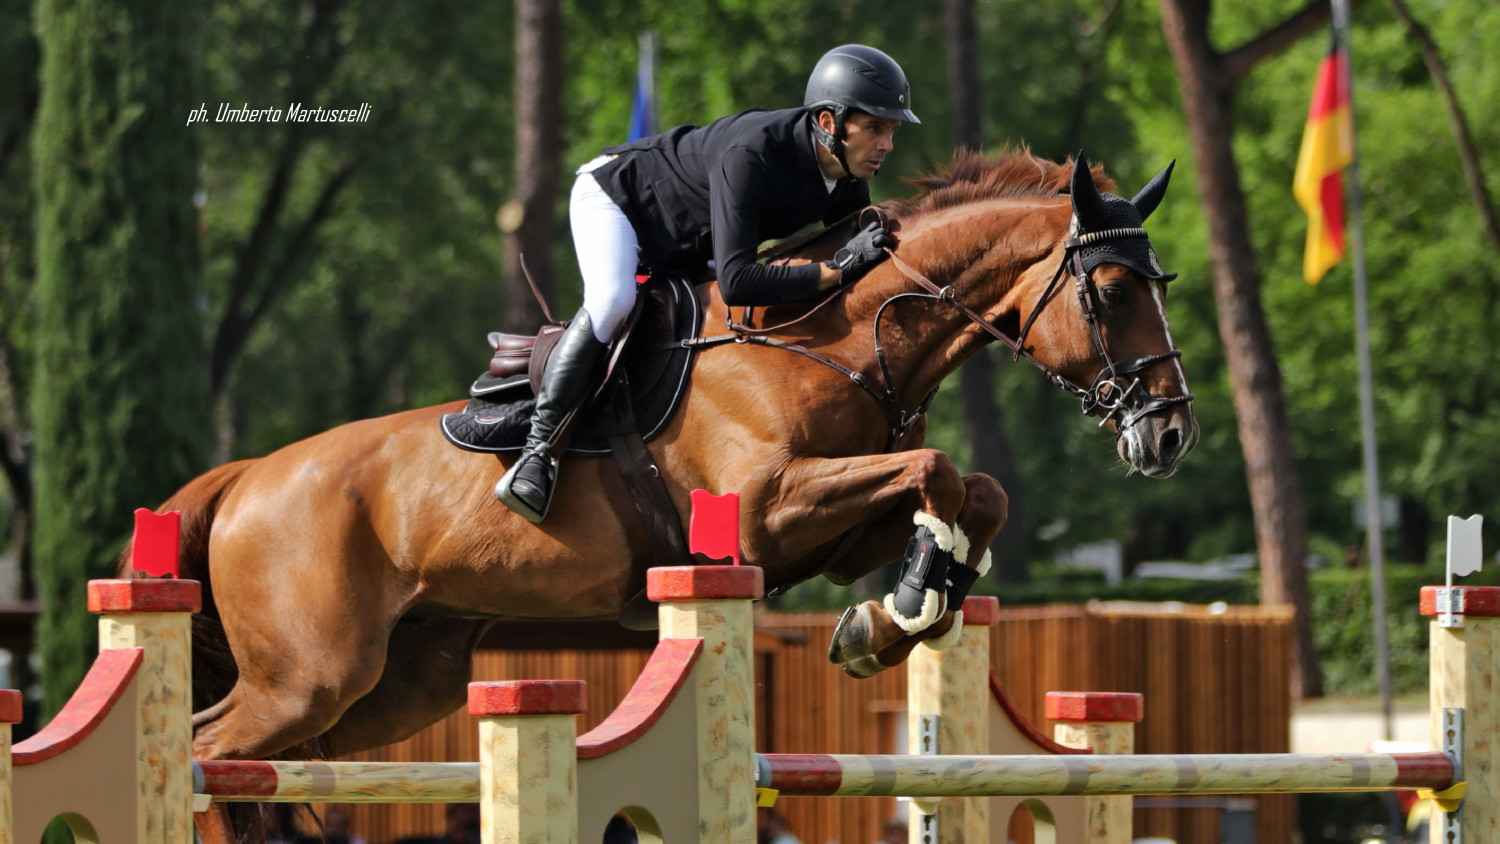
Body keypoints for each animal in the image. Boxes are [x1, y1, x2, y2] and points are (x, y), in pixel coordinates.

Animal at [145, 151, 1197, 780]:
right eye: (1111, 291)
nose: (1171, 434)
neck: (834, 339)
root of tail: (244, 479)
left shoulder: (833, 531)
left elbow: (978, 490)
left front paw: (901, 611)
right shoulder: (764, 513)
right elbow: (939, 471)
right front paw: (900, 609)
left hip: (402, 683)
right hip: (307, 675)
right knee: (203, 749)